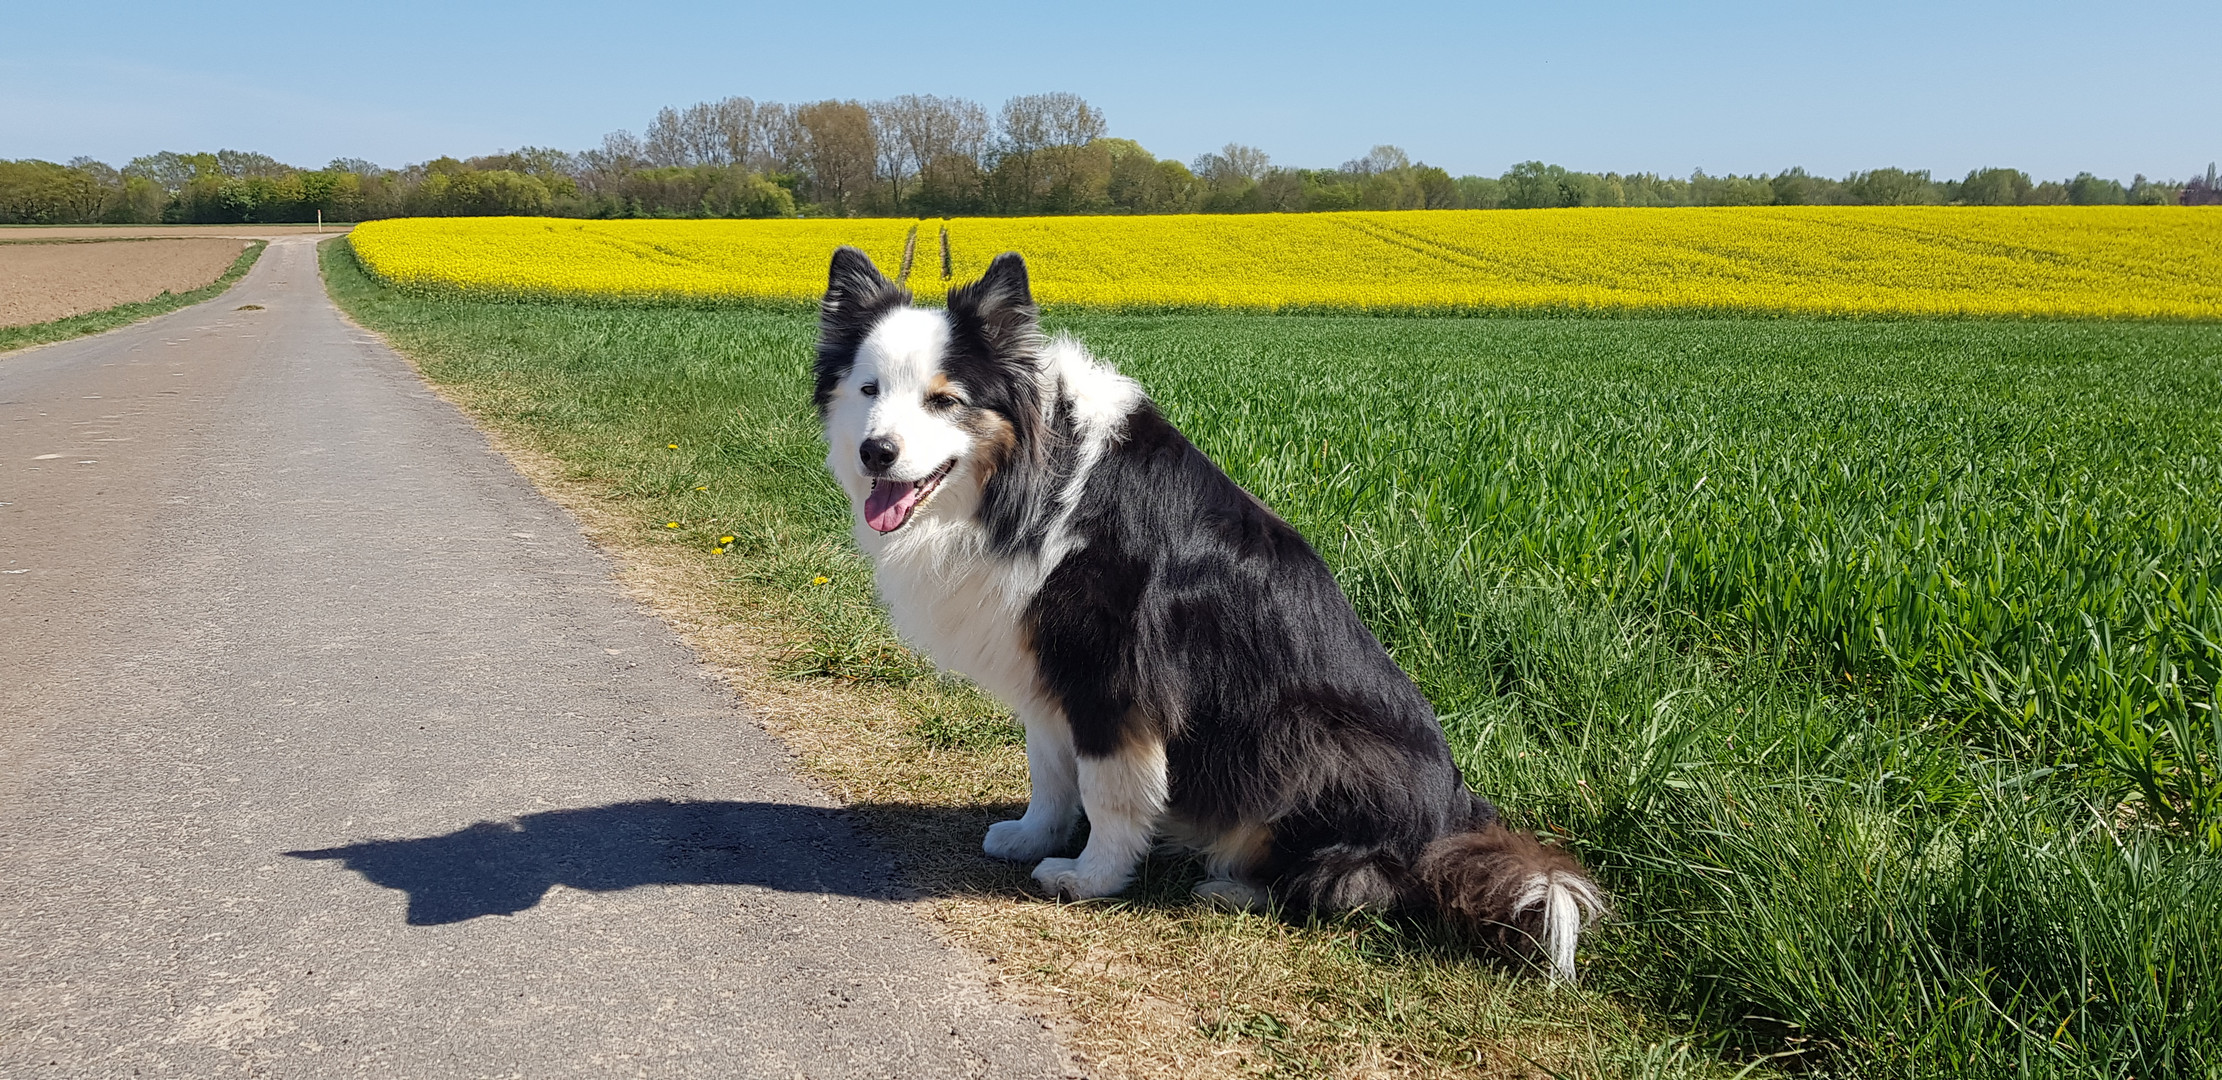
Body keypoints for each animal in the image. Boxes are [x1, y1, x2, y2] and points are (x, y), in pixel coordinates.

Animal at [808, 248, 1608, 982]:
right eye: (869, 388)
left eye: (944, 400)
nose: (877, 451)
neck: (1030, 477)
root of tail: (1455, 817)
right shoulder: (1048, 666)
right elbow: (1050, 769)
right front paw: (1035, 837)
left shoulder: (1114, 673)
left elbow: (1107, 790)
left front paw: (1091, 877)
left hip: (1305, 737)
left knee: (1357, 882)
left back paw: (1236, 888)